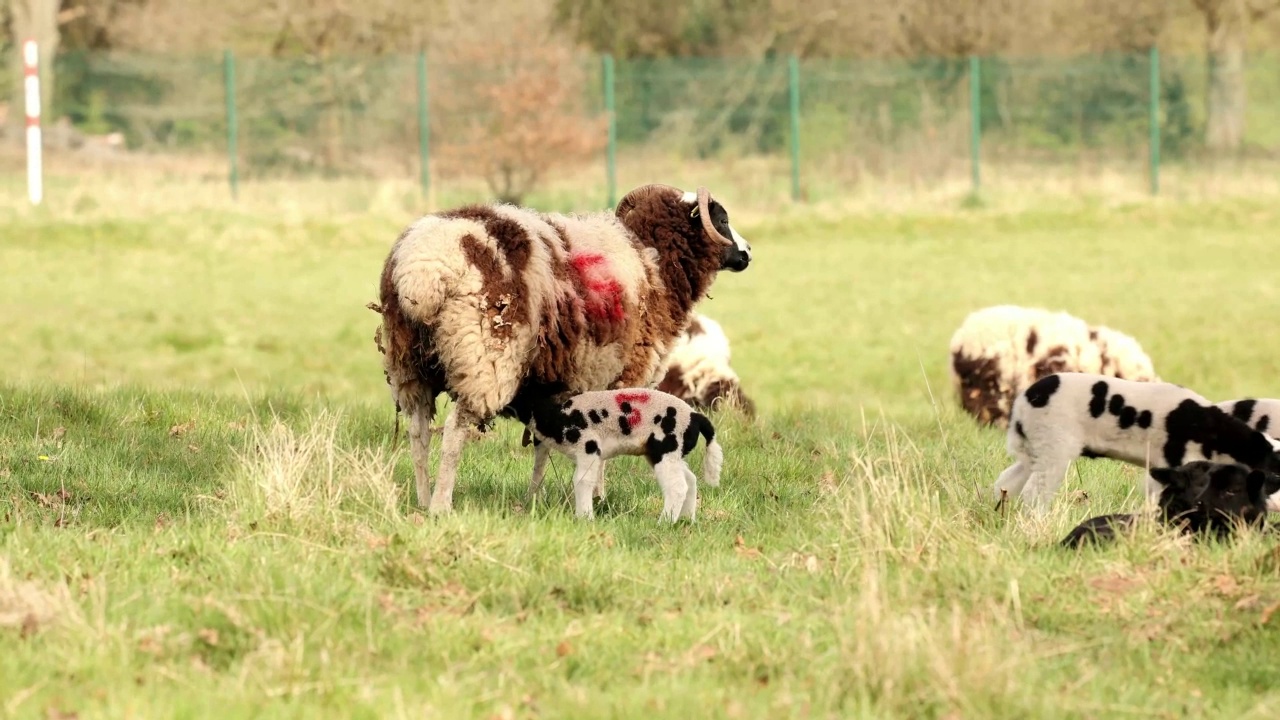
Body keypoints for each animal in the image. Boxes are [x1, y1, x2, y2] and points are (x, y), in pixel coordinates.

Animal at [517, 386, 721, 520]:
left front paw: (584, 517)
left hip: (666, 447)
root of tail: (696, 417)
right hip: (667, 454)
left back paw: (665, 522)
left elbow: (582, 480)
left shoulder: (588, 447)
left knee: (677, 486)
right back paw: (686, 519)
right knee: (690, 480)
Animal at [993, 368, 1280, 515]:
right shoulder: (1171, 462)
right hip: (1055, 447)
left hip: (1033, 450)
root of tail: (1026, 399)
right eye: (1274, 470)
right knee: (1034, 493)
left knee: (1006, 482)